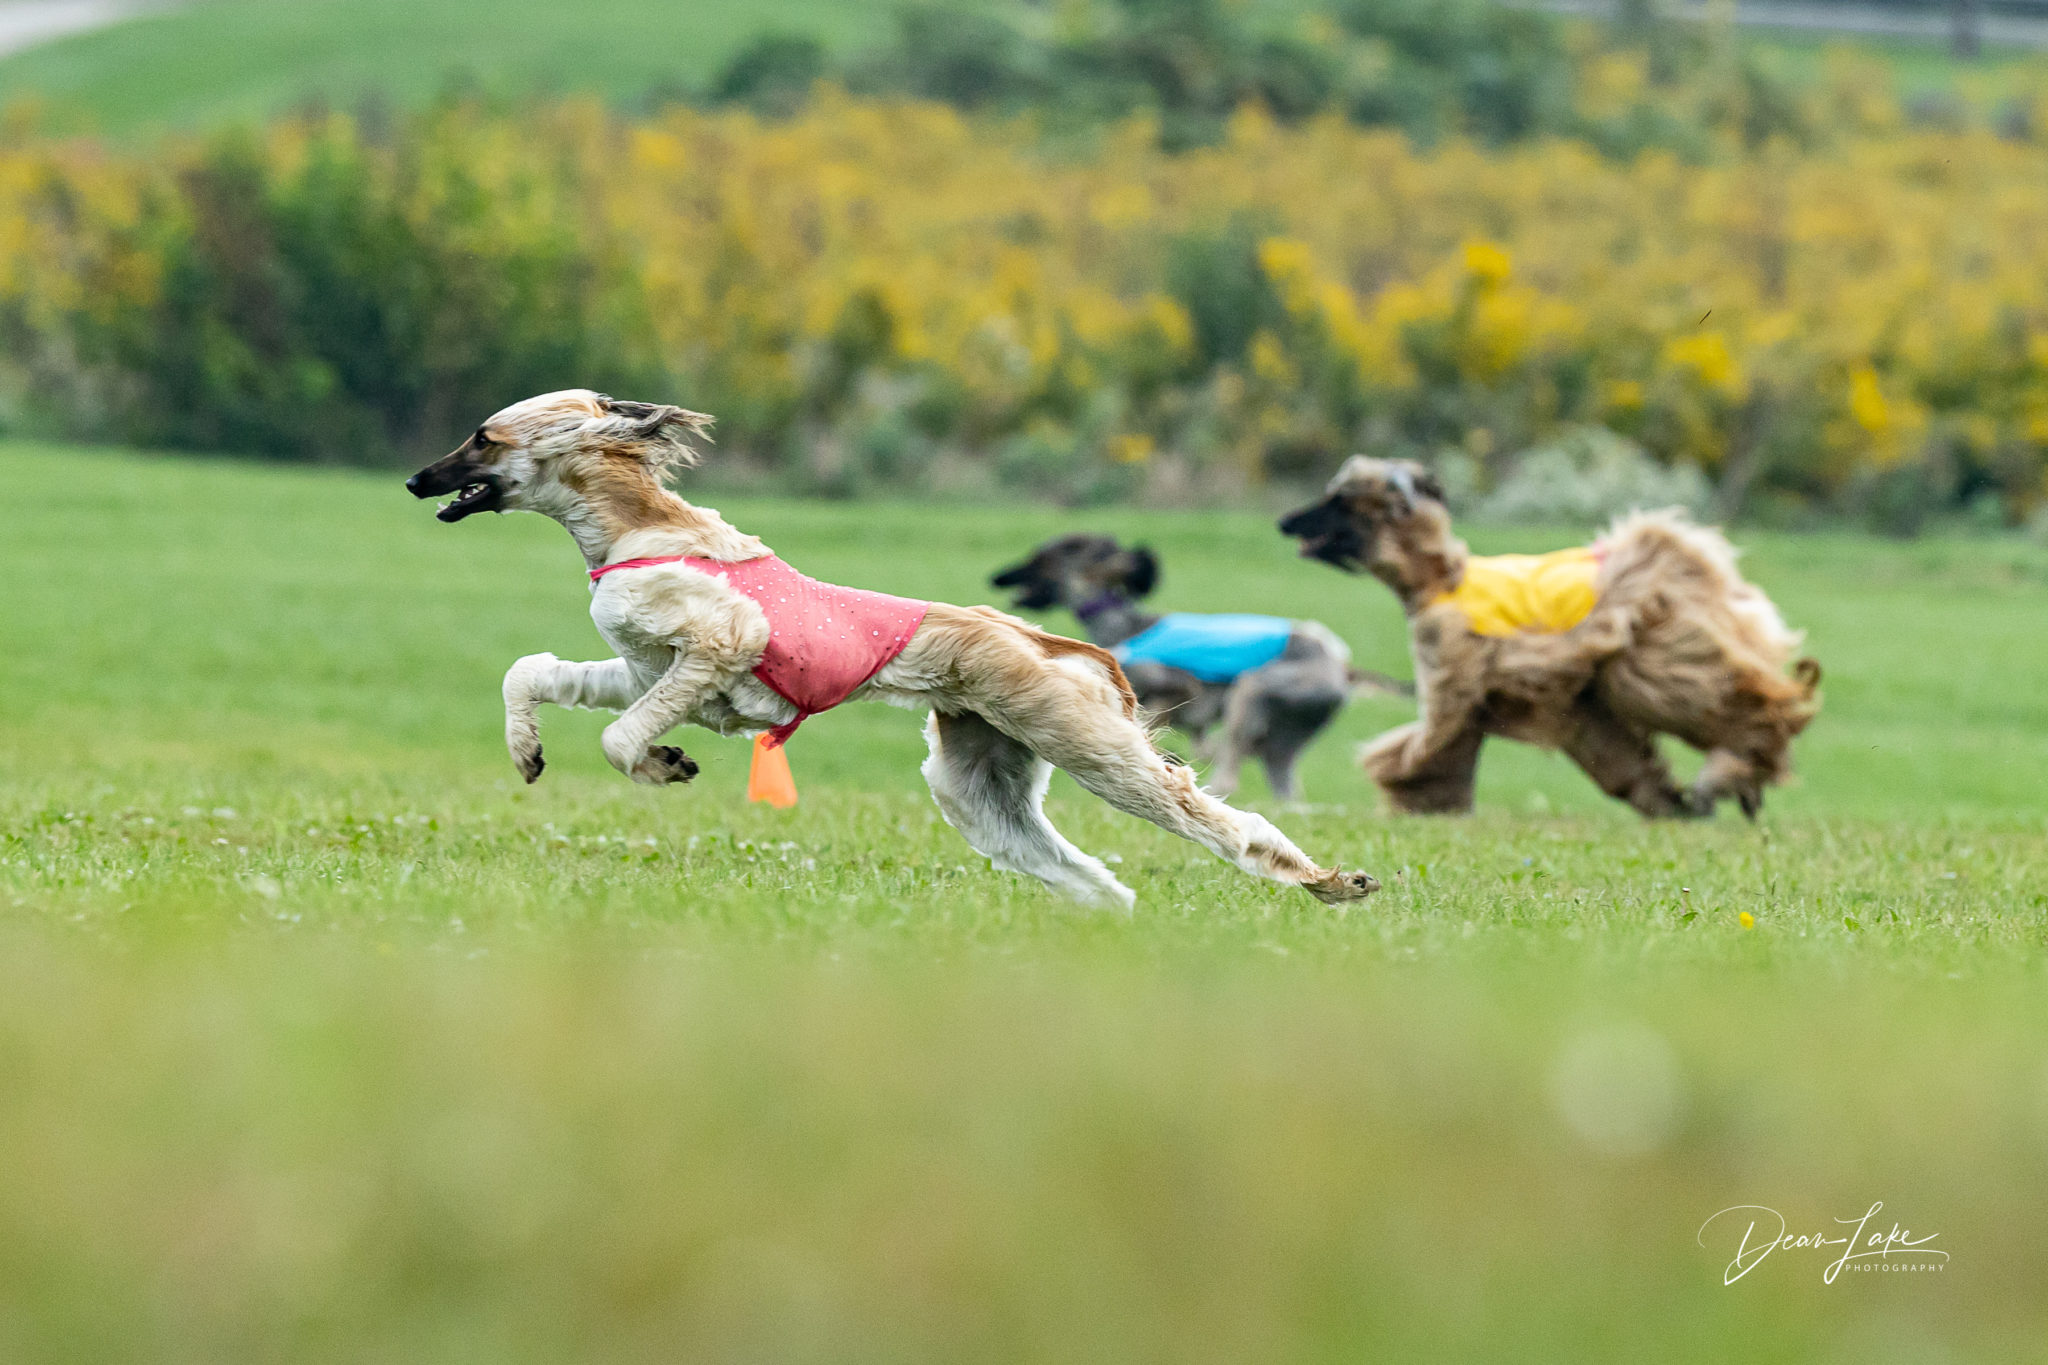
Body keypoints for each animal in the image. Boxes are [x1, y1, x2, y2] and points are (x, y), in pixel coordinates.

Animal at [403, 388, 1376, 912]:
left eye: (483, 436)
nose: (415, 479)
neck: (633, 527)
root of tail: (1041, 637)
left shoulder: (719, 644)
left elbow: (619, 735)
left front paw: (663, 762)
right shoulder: (644, 665)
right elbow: (537, 674)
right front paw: (528, 750)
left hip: (1087, 742)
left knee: (1222, 821)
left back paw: (1329, 881)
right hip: (978, 780)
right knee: (1092, 877)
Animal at [1277, 458, 1826, 822]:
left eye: (1338, 500)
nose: (1284, 521)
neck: (1437, 579)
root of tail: (1690, 558)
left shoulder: (1455, 676)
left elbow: (1425, 748)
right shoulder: (1568, 701)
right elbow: (1616, 758)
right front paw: (1667, 802)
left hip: (1656, 658)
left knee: (1747, 705)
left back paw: (1733, 768)